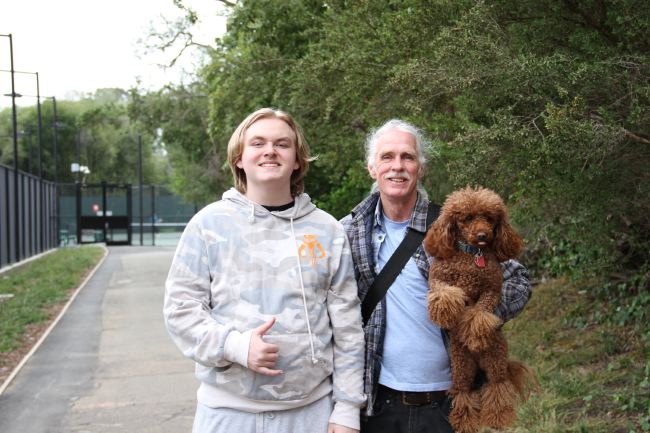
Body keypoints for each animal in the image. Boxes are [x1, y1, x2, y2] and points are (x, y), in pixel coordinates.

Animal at [423, 186, 535, 433]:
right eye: (467, 218)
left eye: (490, 218)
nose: (483, 235)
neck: (471, 255)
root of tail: (477, 365)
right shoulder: (438, 278)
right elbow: (444, 293)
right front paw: (444, 312)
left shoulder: (492, 288)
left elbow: (480, 312)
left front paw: (474, 333)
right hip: (461, 368)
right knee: (463, 394)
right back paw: (464, 422)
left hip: (494, 361)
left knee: (497, 387)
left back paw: (498, 418)